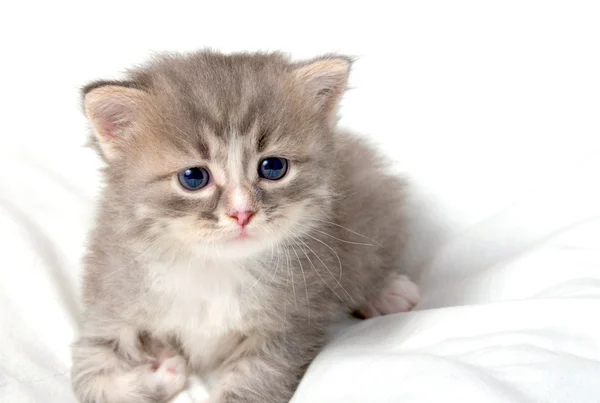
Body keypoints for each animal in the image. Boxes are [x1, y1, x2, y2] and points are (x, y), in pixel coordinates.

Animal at [72, 51, 420, 403]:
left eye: (273, 167)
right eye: (193, 177)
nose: (242, 213)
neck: (213, 270)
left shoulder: (287, 328)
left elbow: (251, 386)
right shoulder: (109, 304)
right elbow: (94, 380)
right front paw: (167, 371)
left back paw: (388, 293)